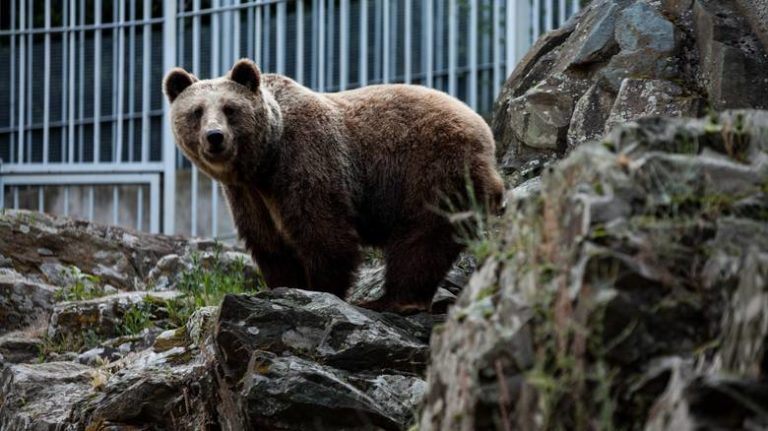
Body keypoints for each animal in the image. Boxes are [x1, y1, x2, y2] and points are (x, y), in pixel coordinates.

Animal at [164, 58, 504, 314]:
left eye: (230, 108)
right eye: (196, 111)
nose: (215, 137)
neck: (264, 161)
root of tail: (485, 130)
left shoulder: (307, 160)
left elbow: (323, 232)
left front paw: (321, 291)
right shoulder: (247, 196)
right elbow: (269, 242)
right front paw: (283, 286)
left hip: (432, 167)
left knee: (422, 237)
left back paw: (392, 300)